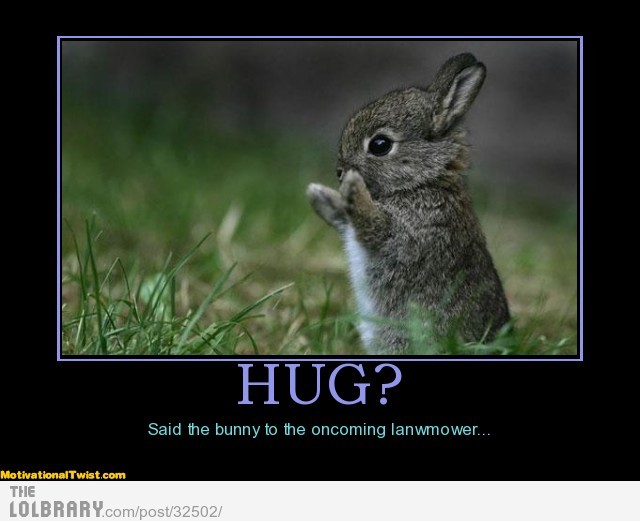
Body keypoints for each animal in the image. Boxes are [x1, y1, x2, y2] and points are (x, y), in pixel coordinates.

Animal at [306, 53, 510, 354]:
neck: (422, 182)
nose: (340, 172)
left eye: (380, 144)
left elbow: (372, 224)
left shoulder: (406, 235)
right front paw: (319, 194)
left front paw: (352, 187)